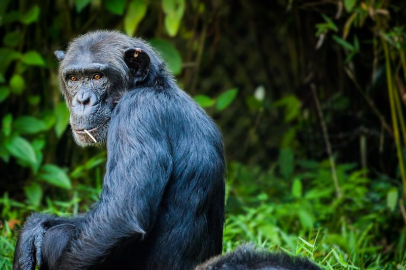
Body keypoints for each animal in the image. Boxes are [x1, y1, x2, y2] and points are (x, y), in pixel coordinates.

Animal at [13, 30, 320, 268]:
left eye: (98, 76)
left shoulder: (138, 115)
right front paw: (33, 228)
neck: (152, 87)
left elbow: (118, 217)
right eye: (74, 79)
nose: (82, 100)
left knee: (61, 238)